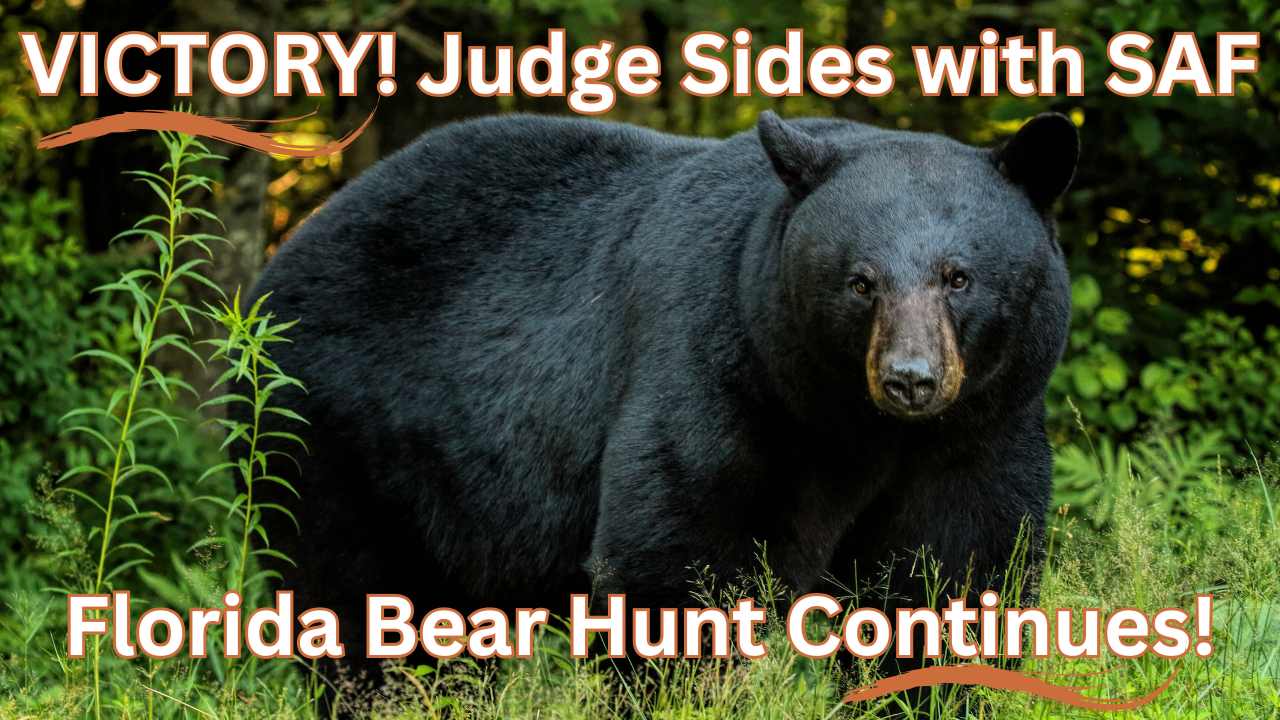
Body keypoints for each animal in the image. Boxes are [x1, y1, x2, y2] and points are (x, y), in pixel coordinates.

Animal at [248, 110, 1078, 671]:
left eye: (959, 277)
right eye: (860, 281)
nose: (910, 379)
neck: (858, 427)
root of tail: (285, 256)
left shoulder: (978, 435)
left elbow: (952, 575)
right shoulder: (727, 380)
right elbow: (682, 559)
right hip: (340, 437)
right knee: (362, 609)